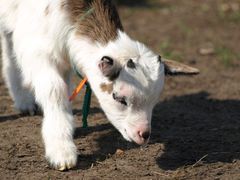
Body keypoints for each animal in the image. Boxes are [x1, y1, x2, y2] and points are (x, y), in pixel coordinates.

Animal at [0, 0, 199, 170]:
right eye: (119, 98)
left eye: (154, 102)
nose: (143, 135)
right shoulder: (37, 49)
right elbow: (55, 90)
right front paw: (61, 151)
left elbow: (66, 89)